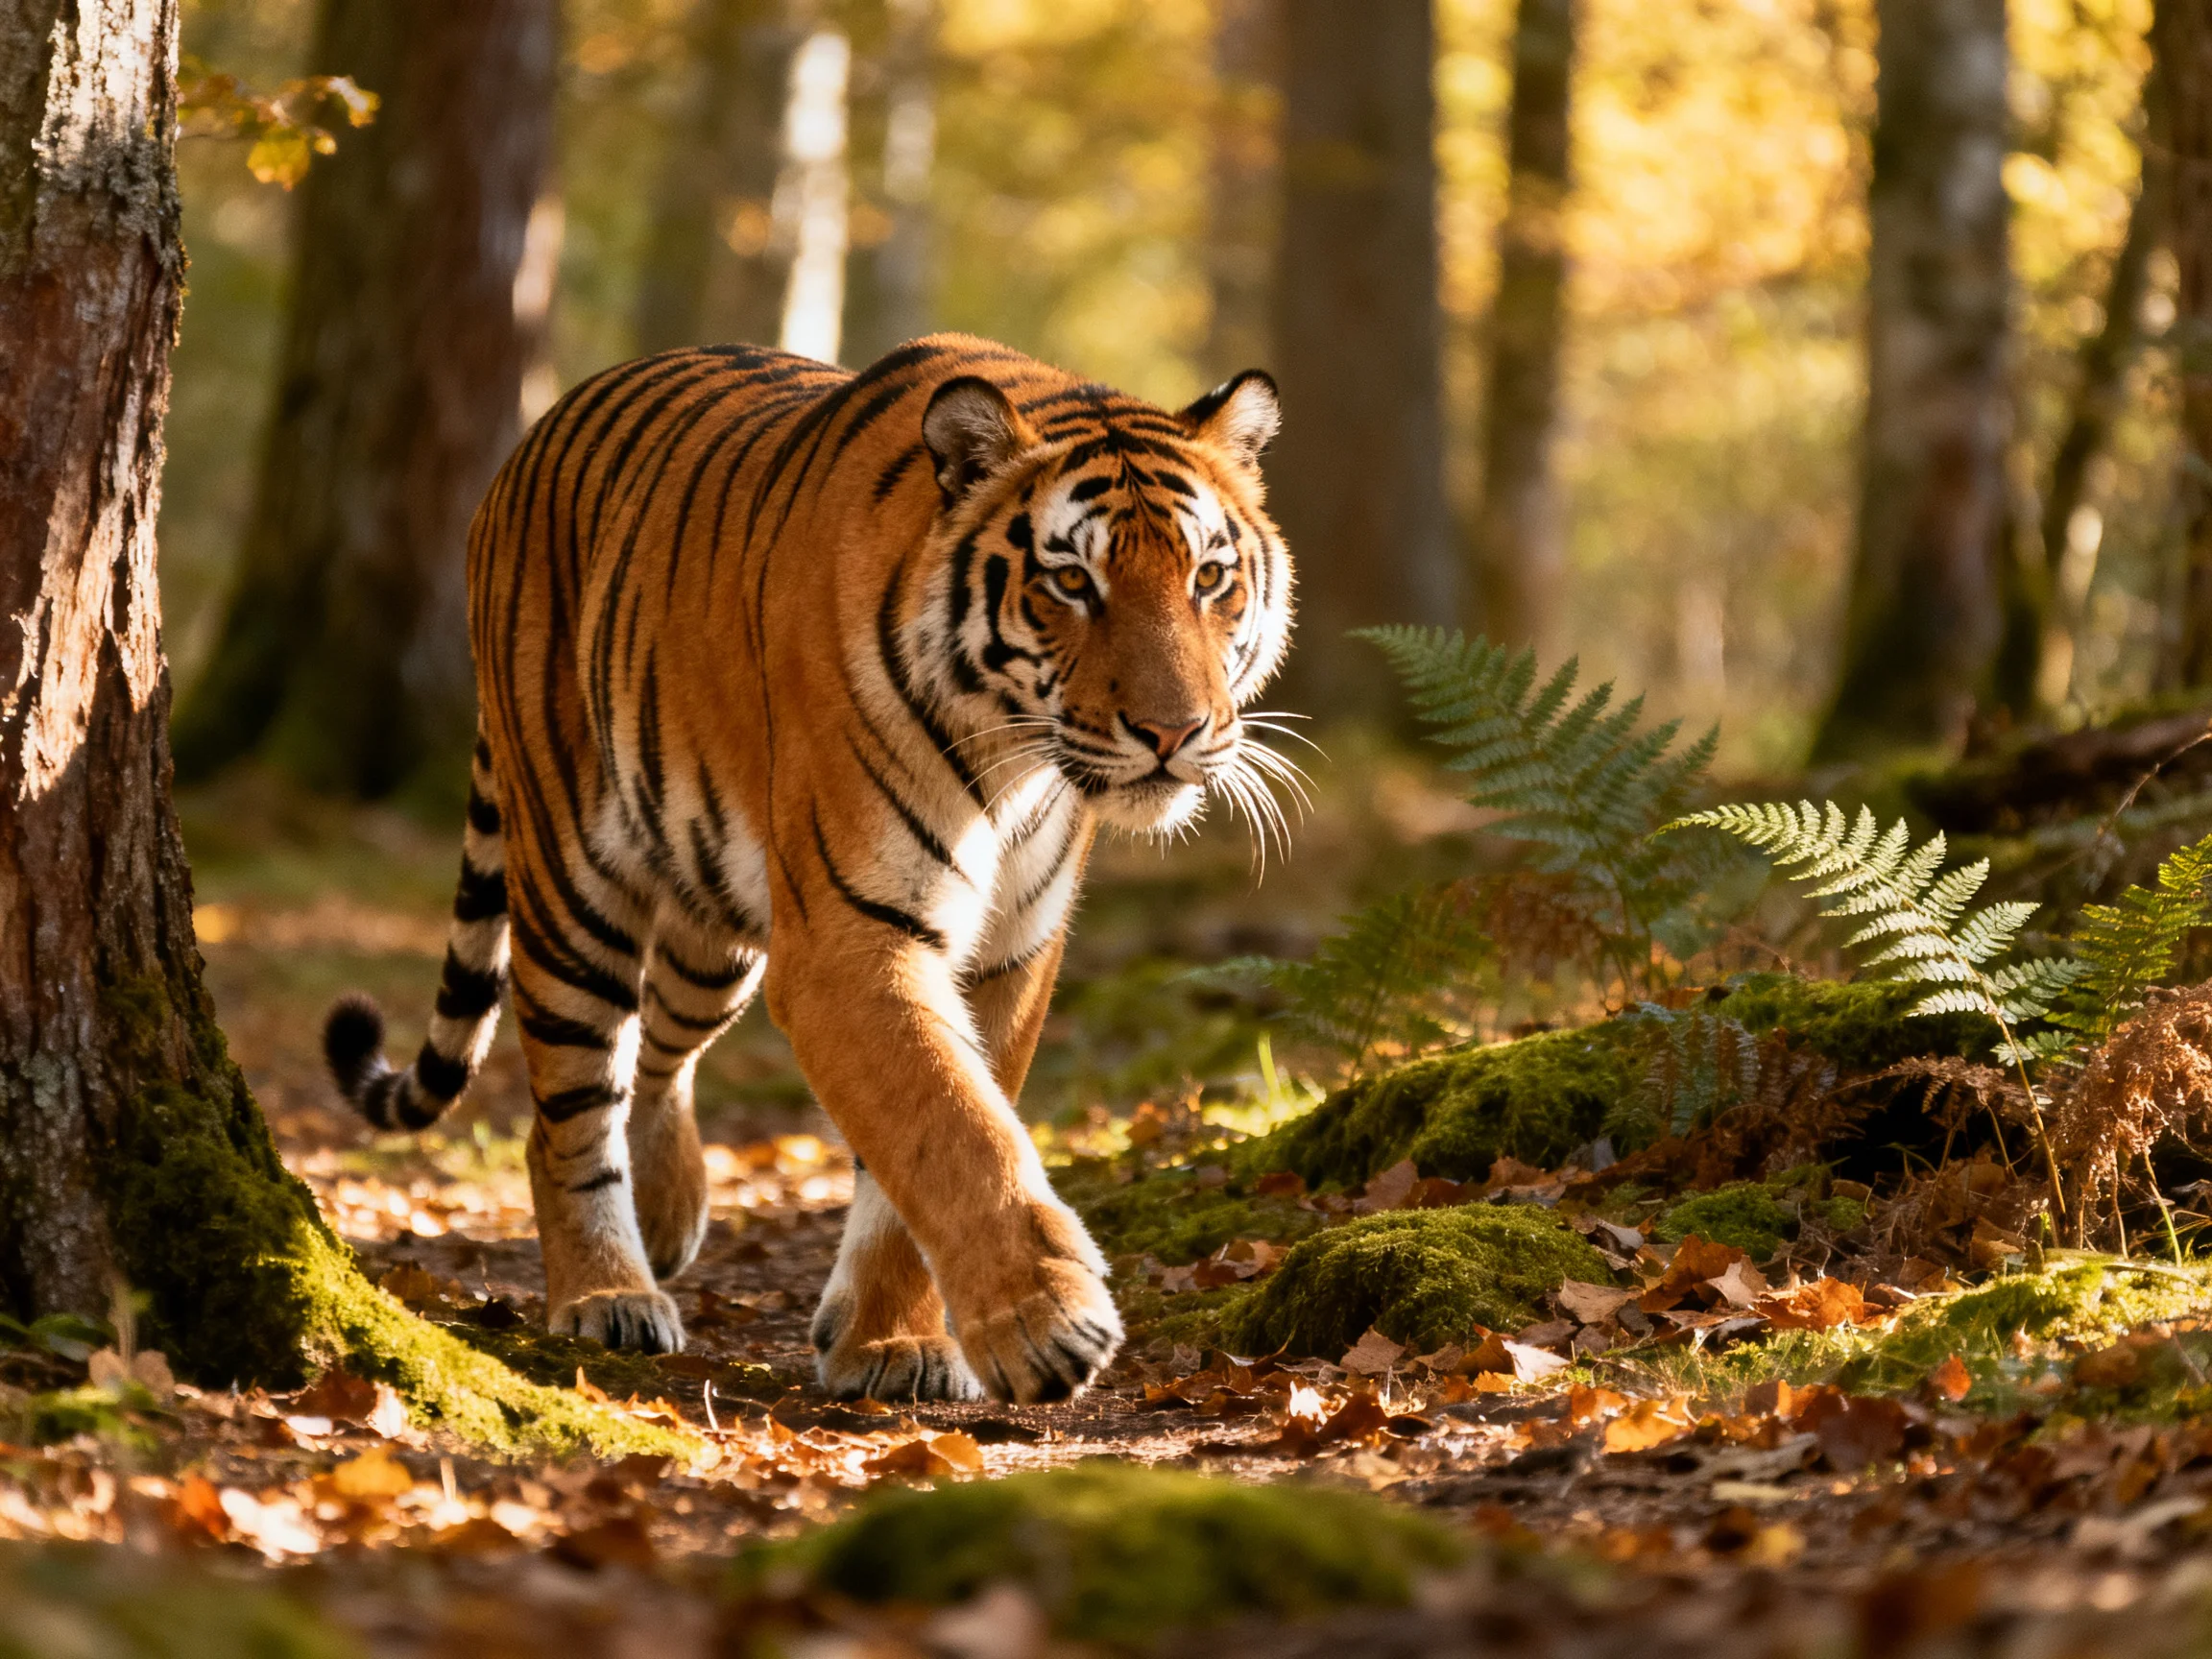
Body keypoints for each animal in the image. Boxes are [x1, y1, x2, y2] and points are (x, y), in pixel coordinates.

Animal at [322, 333, 1296, 1404]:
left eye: (1209, 577)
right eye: (1073, 583)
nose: (1174, 732)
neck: (1015, 765)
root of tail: (532, 440)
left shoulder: (1008, 953)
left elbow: (936, 1129)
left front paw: (890, 1343)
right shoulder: (849, 939)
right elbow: (950, 1125)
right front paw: (1045, 1325)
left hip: (715, 930)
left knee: (660, 1049)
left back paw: (665, 1214)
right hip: (572, 881)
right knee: (569, 1105)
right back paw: (605, 1294)